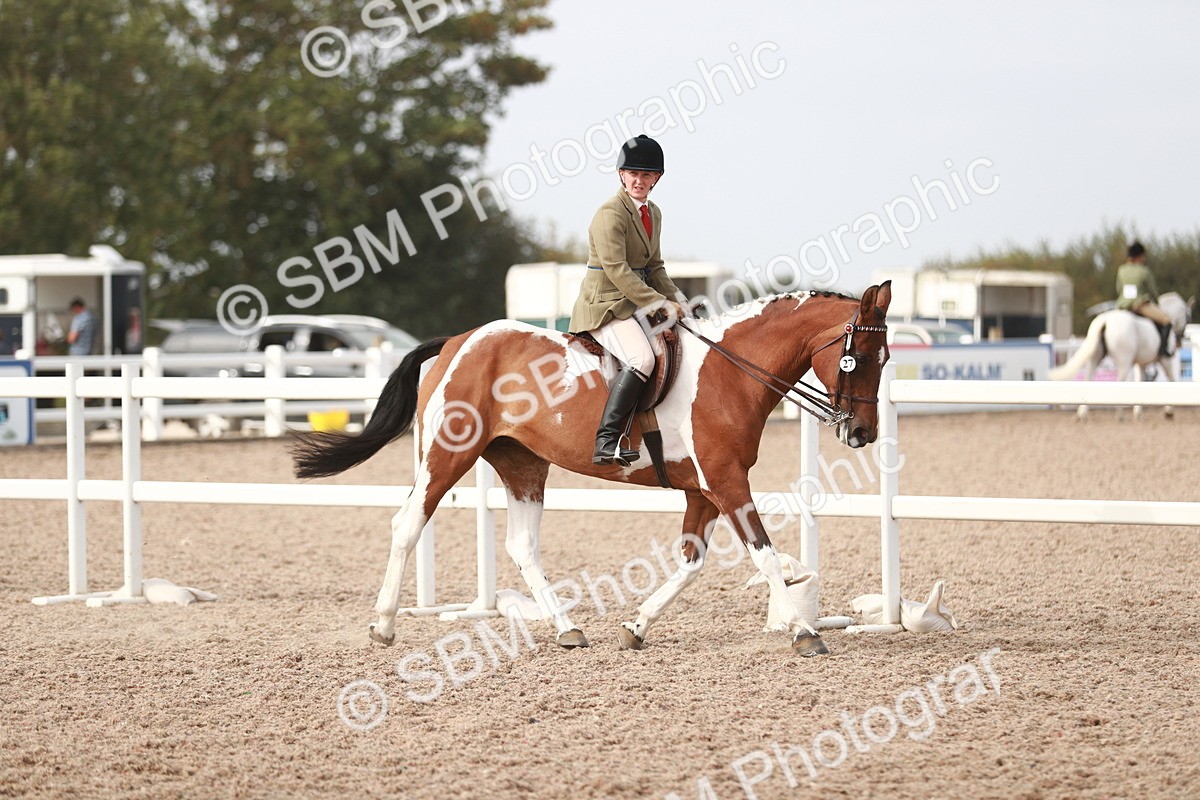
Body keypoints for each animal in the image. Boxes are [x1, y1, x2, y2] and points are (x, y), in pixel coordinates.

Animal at [291, 283, 893, 657]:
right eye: (858, 358)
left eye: (886, 359)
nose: (862, 434)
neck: (730, 372)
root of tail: (459, 340)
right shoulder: (726, 482)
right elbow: (765, 554)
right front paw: (803, 631)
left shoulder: (703, 490)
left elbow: (691, 562)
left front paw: (635, 626)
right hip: (446, 454)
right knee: (408, 523)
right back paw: (383, 625)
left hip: (523, 464)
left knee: (522, 546)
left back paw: (567, 628)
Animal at [1050, 292, 1194, 420]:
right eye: (1188, 317)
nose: (1179, 342)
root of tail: (1105, 321)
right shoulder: (1165, 359)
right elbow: (1172, 380)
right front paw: (1169, 411)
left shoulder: (1141, 363)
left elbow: (1140, 382)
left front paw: (1138, 413)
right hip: (1124, 360)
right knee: (1119, 383)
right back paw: (1119, 413)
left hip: (1095, 357)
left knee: (1088, 379)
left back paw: (1082, 414)